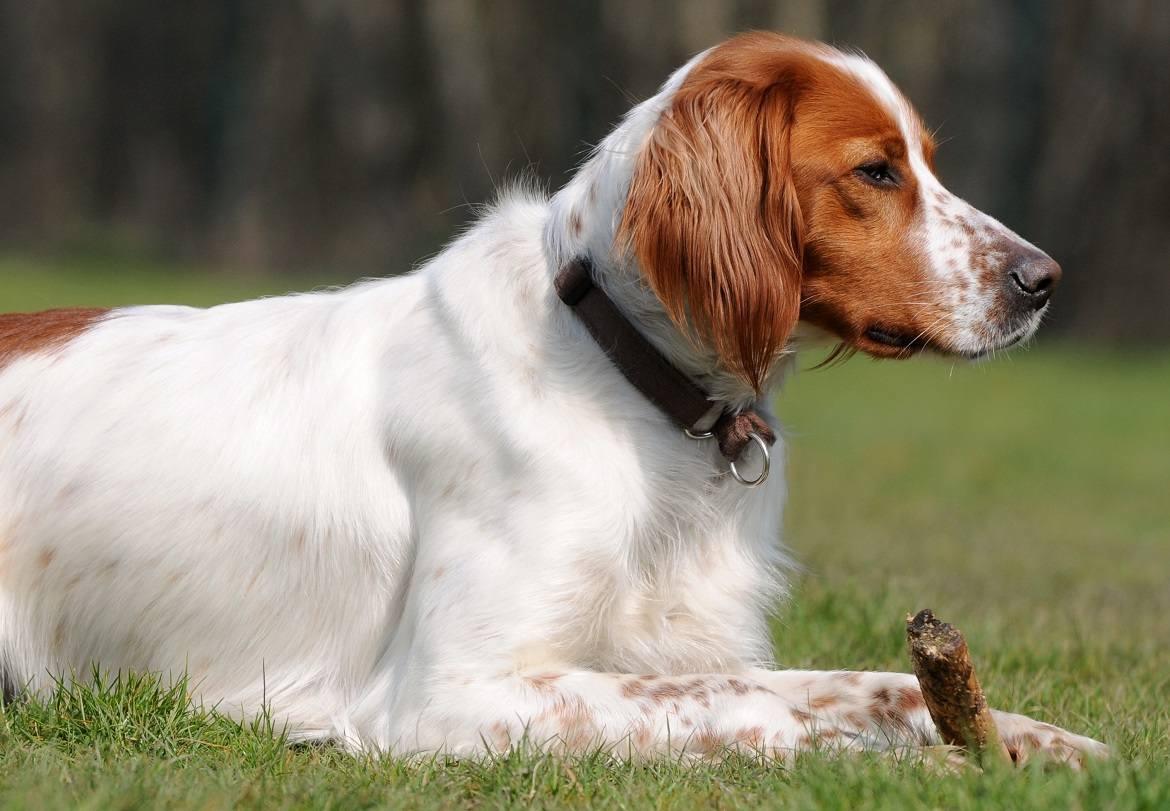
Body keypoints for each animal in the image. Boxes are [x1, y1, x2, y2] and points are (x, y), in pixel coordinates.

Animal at [0, 33, 1104, 767]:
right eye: (874, 171)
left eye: (926, 161)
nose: (1043, 278)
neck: (624, 373)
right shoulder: (455, 692)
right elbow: (748, 707)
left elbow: (859, 682)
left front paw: (1039, 740)